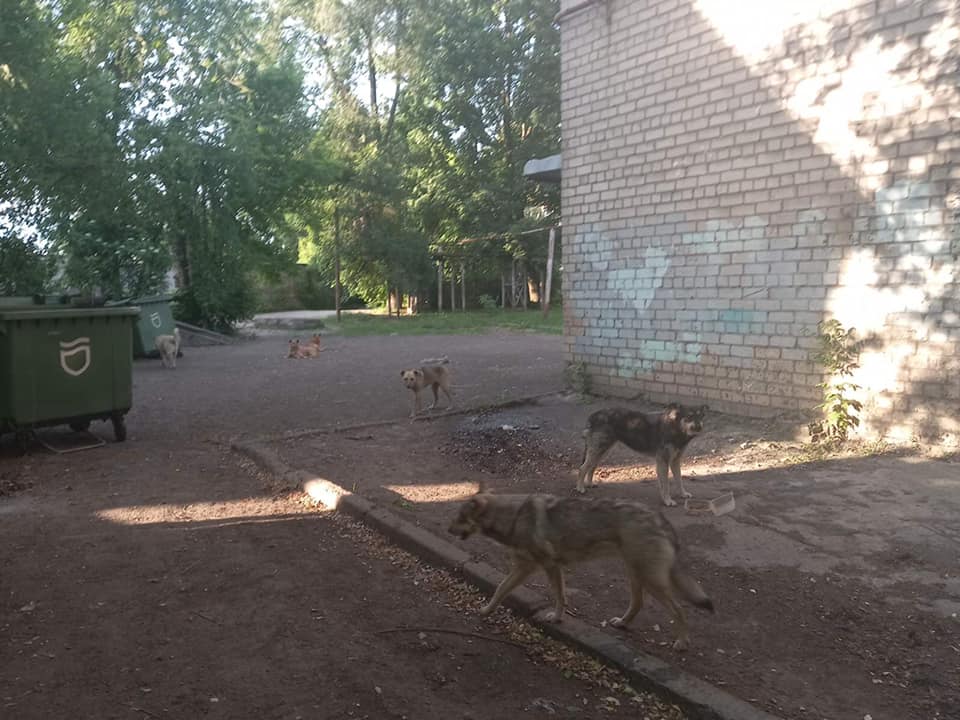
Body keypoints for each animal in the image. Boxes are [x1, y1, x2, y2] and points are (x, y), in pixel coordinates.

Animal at [450, 486, 712, 648]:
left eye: (459, 518)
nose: (447, 529)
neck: (512, 517)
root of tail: (659, 517)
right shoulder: (536, 568)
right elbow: (511, 591)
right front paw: (487, 610)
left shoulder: (539, 567)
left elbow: (536, 594)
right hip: (635, 574)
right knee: (637, 604)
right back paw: (622, 623)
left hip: (650, 580)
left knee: (679, 610)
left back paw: (681, 642)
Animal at [572, 404, 708, 506]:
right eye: (689, 416)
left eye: (700, 416)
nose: (699, 427)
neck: (675, 428)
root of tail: (593, 415)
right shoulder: (663, 462)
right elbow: (666, 485)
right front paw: (667, 501)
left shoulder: (675, 461)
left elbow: (679, 480)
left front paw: (683, 494)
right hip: (598, 450)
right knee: (582, 468)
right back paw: (580, 488)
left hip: (602, 451)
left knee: (591, 467)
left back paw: (589, 484)